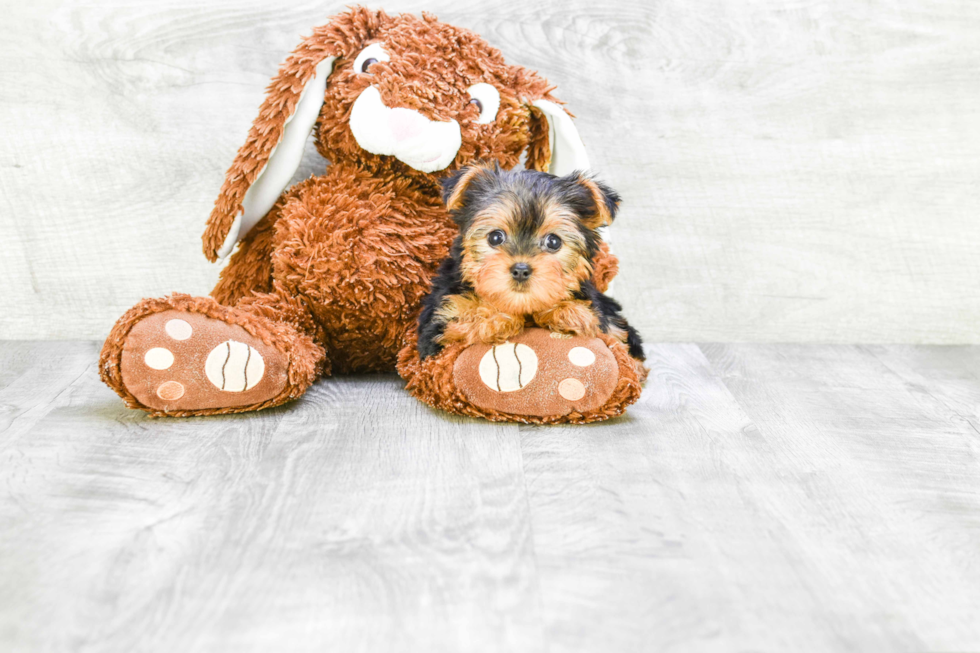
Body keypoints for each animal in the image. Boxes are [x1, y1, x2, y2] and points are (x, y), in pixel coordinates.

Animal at [420, 161, 644, 360]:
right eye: (495, 237)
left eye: (553, 241)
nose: (521, 269)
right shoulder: (440, 322)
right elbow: (471, 321)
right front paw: (499, 317)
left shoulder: (605, 318)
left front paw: (569, 312)